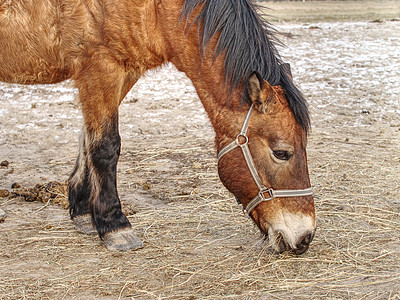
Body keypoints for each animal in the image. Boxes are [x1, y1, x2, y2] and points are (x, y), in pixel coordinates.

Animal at [1, 0, 318, 253]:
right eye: (281, 153)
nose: (304, 238)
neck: (156, 9)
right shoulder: (100, 70)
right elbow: (105, 146)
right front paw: (115, 227)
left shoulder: (122, 74)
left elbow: (86, 140)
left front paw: (82, 212)